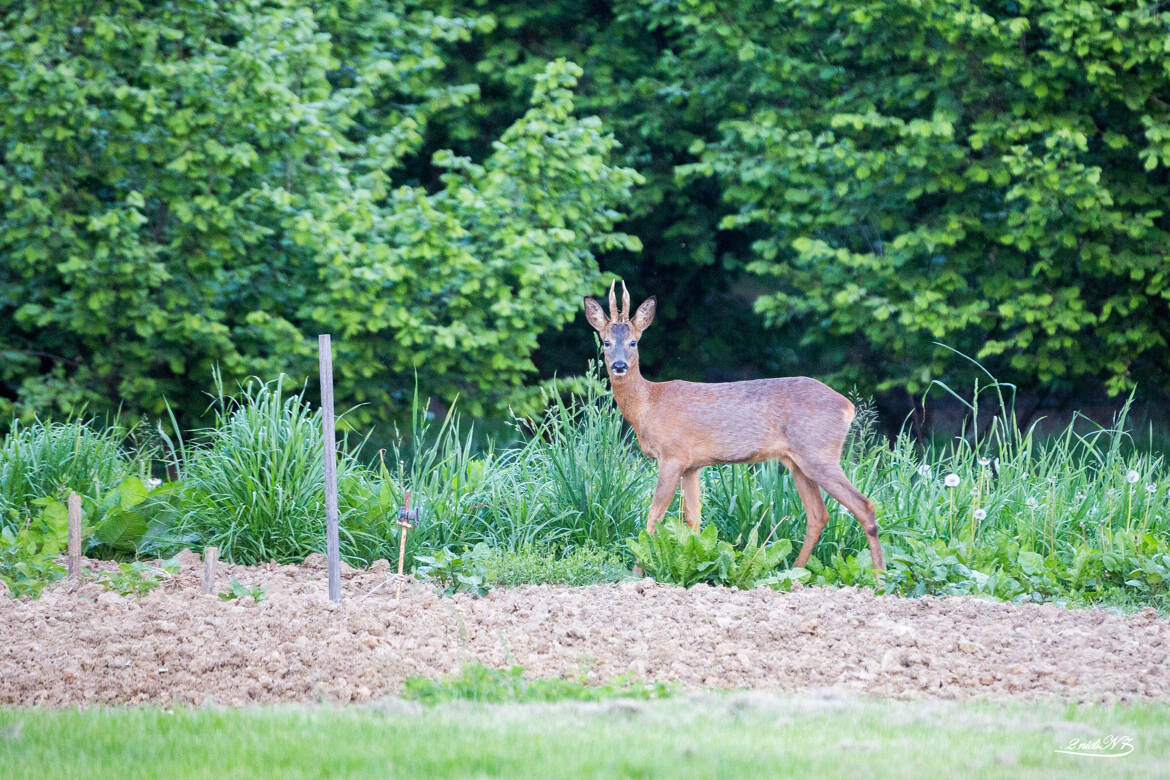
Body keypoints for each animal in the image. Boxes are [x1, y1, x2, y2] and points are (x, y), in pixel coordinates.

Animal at [580, 284, 879, 570]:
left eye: (634, 342)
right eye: (606, 341)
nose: (619, 365)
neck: (648, 406)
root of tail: (847, 407)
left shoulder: (673, 455)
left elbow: (655, 514)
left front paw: (639, 571)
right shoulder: (691, 465)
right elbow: (694, 518)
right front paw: (694, 560)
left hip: (819, 453)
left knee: (863, 505)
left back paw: (879, 576)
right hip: (798, 462)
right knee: (818, 514)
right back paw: (795, 572)